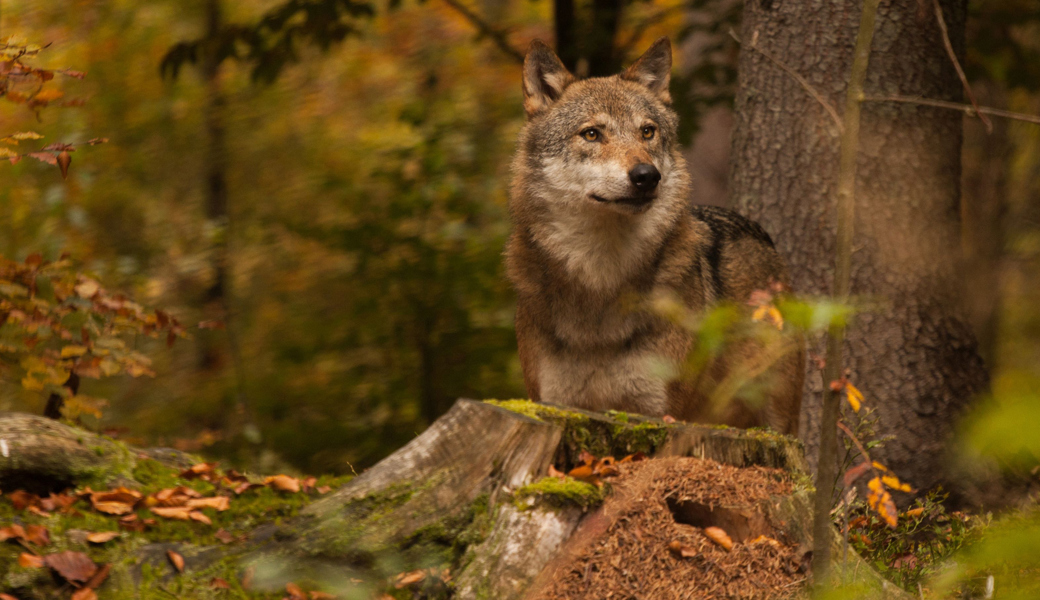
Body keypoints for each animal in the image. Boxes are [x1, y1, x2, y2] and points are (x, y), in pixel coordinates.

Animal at [503, 37, 802, 432]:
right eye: (592, 134)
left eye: (647, 131)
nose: (647, 176)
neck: (601, 281)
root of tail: (761, 233)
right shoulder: (557, 404)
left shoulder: (660, 413)